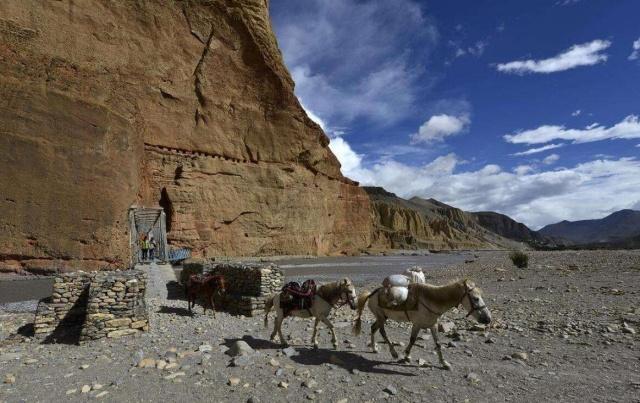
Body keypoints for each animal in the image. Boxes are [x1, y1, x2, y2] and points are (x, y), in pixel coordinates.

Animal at [352, 280, 492, 370]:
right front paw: (406, 356)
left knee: (373, 328)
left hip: (382, 317)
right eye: (475, 298)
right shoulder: (417, 324)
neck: (431, 300)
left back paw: (374, 348)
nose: (488, 319)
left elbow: (438, 344)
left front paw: (444, 363)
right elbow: (412, 340)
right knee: (382, 332)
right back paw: (394, 353)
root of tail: (371, 294)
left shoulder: (433, 325)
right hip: (381, 317)